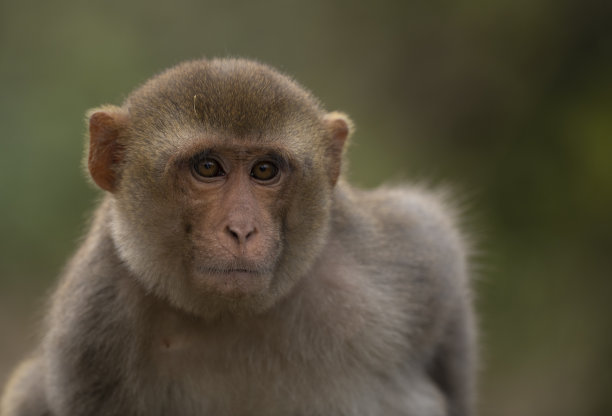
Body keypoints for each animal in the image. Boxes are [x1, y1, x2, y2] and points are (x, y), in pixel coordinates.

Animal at [0, 58, 476, 416]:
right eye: (208, 167)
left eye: (264, 170)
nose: (242, 229)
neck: (235, 315)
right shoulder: (89, 338)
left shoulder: (409, 260)